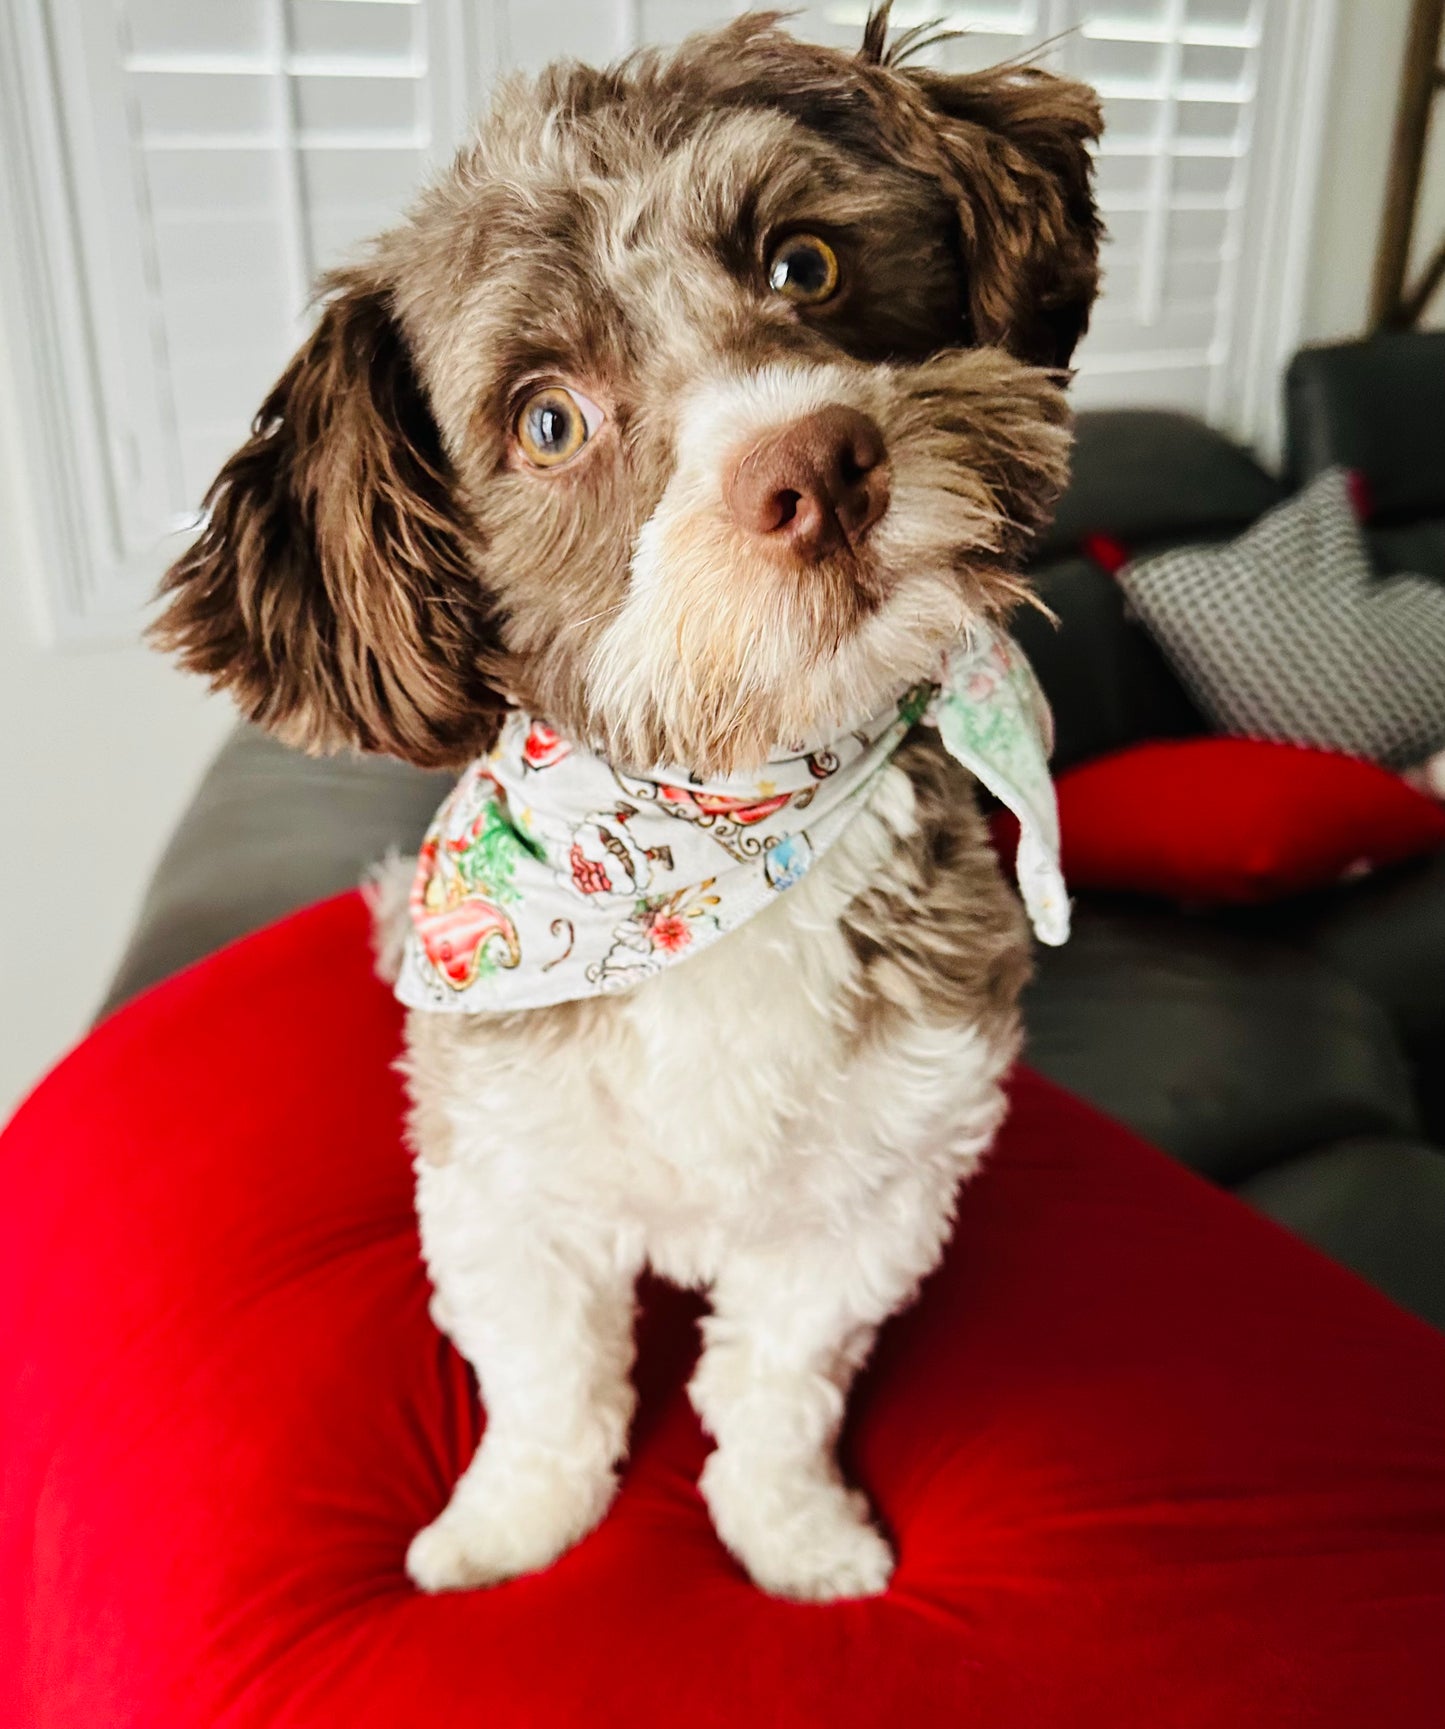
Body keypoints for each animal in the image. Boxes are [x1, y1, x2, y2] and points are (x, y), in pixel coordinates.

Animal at [149, 3, 1092, 1604]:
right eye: (547, 420)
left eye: (802, 263)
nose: (816, 464)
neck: (723, 822)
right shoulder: (499, 1184)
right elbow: (549, 1381)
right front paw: (510, 1524)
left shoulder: (873, 1189)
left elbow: (777, 1383)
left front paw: (795, 1533)